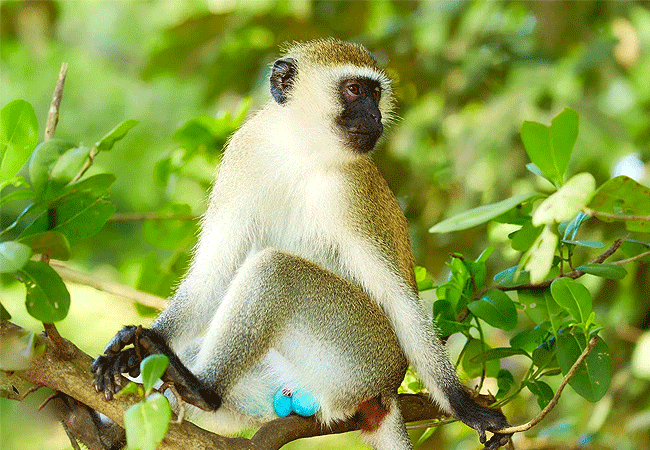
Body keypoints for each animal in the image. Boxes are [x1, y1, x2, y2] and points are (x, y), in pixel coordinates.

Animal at [92, 38, 511, 450]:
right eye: (355, 90)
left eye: (375, 93)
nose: (375, 116)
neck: (300, 150)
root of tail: (384, 394)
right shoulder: (243, 153)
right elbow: (213, 272)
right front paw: (134, 347)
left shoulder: (351, 193)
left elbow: (398, 298)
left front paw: (464, 406)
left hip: (364, 355)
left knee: (277, 269)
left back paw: (201, 389)